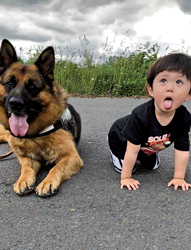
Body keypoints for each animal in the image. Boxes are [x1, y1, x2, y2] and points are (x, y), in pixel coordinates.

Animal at [0, 39, 83, 196]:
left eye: (32, 87)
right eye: (9, 83)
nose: (15, 104)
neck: (36, 134)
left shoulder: (71, 156)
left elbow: (56, 167)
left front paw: (47, 182)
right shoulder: (28, 157)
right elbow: (26, 167)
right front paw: (23, 180)